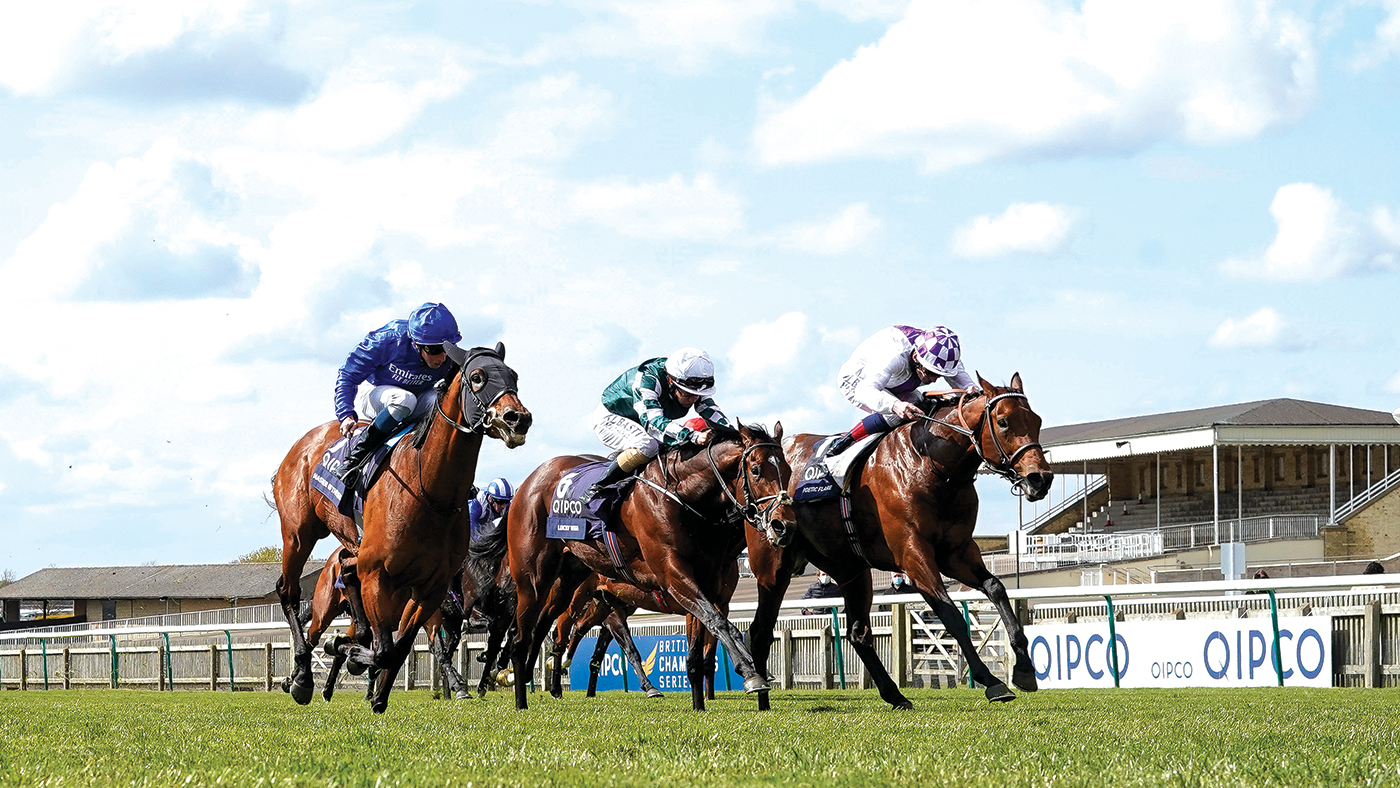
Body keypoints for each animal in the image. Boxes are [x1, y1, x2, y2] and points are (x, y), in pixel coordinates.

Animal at [278, 345, 529, 708]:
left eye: (514, 377)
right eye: (478, 377)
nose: (518, 418)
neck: (428, 490)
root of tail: (303, 443)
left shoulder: (431, 590)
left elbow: (399, 648)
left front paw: (378, 694)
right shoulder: (378, 575)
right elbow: (385, 650)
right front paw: (347, 654)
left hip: (351, 549)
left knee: (347, 570)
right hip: (299, 534)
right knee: (292, 595)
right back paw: (302, 677)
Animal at [509, 425, 795, 716]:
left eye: (788, 470)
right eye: (756, 469)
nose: (784, 526)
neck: (683, 496)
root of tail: (530, 481)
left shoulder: (707, 588)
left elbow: (702, 644)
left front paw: (701, 703)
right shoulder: (674, 576)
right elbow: (717, 623)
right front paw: (750, 673)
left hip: (571, 582)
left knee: (546, 625)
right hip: (535, 580)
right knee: (528, 636)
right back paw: (522, 697)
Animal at [772, 372, 1052, 711]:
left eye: (1036, 420)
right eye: (1003, 422)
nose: (1040, 479)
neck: (930, 464)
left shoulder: (956, 552)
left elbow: (996, 587)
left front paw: (1024, 670)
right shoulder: (913, 554)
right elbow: (951, 615)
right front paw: (992, 682)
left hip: (849, 567)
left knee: (858, 633)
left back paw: (894, 694)